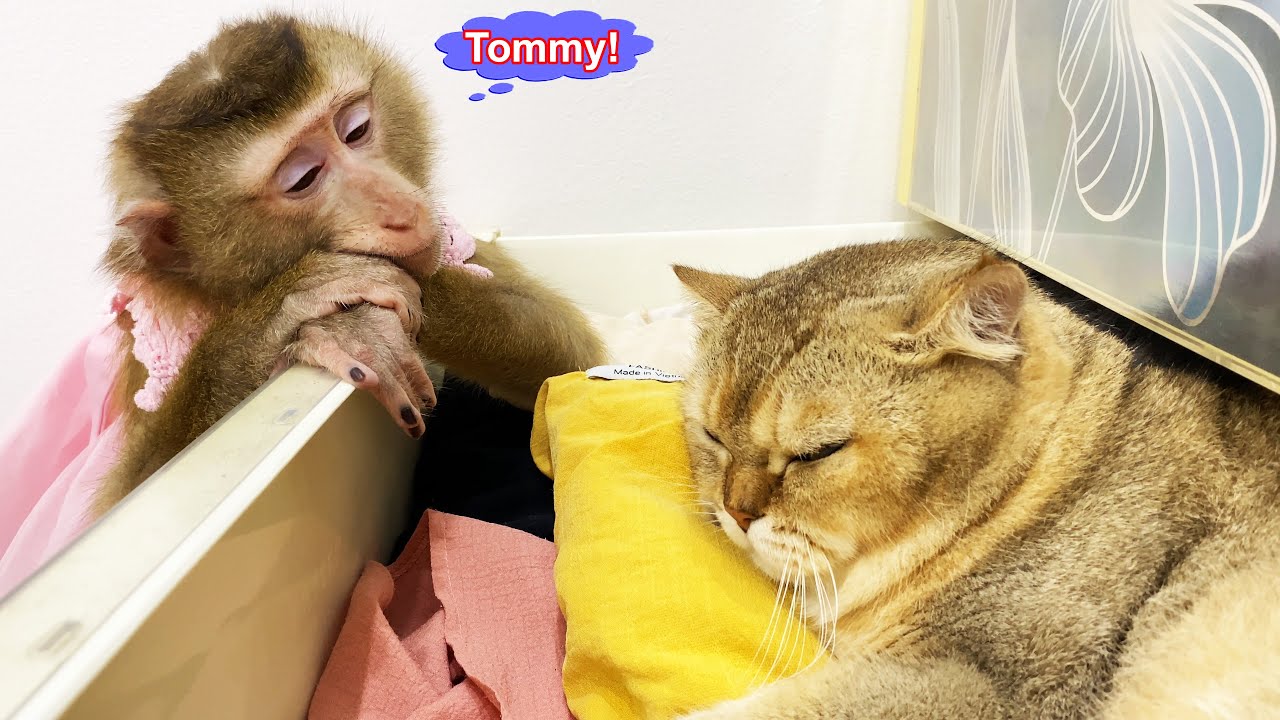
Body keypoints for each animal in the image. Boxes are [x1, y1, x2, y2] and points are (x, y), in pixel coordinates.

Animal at [91, 14, 604, 515]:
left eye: (355, 130)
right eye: (303, 179)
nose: (402, 211)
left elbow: (570, 363)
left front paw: (353, 322)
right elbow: (127, 495)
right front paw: (295, 309)